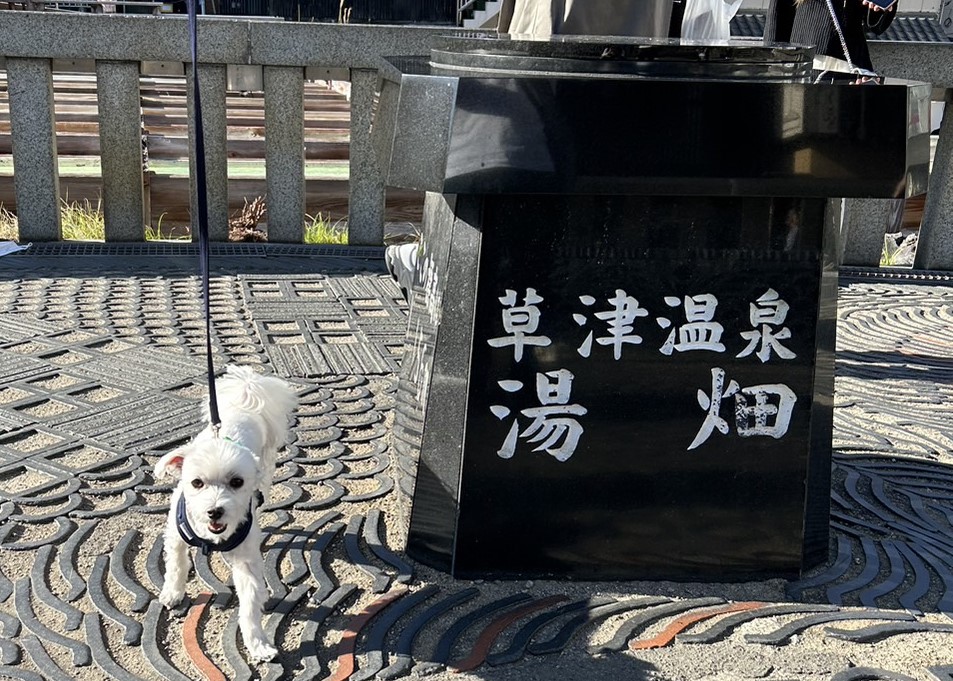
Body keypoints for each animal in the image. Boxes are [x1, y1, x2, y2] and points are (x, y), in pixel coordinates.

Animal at [154, 364, 296, 660]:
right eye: (197, 482)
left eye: (237, 482)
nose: (215, 511)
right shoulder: (175, 535)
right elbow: (177, 564)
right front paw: (173, 592)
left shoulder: (246, 563)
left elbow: (250, 603)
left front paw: (258, 643)